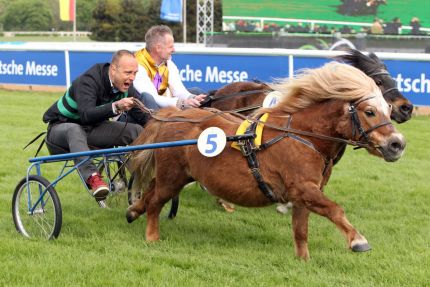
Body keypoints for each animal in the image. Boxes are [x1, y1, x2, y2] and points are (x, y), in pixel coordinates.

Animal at [126, 63, 404, 260]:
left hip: (176, 175)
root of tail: (172, 116)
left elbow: (301, 230)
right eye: (370, 112)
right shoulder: (304, 188)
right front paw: (358, 240)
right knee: (155, 202)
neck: (302, 136)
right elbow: (335, 209)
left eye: (387, 109)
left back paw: (133, 210)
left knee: (150, 191)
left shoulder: (303, 194)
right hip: (172, 176)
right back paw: (152, 236)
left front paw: (303, 260)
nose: (397, 144)